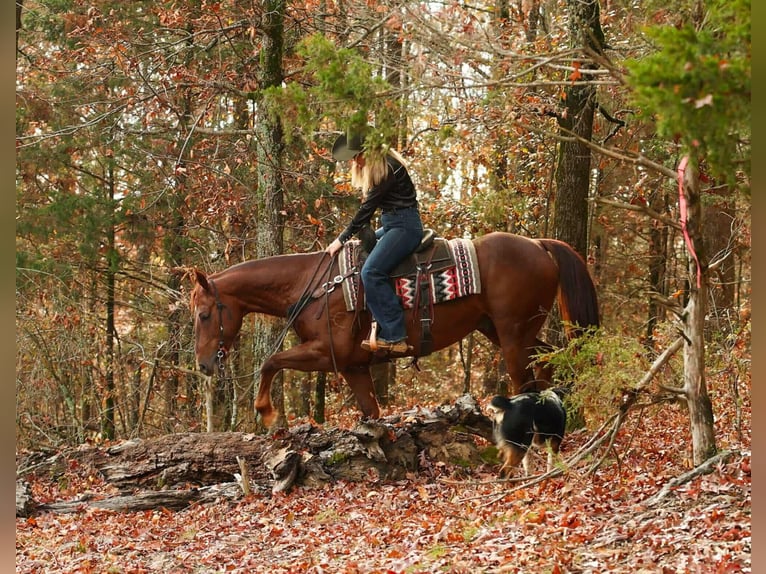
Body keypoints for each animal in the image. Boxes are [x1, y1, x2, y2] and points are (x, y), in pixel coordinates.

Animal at [188, 232, 599, 429]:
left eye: (204, 315)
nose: (204, 365)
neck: (315, 285)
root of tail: (539, 245)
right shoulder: (353, 366)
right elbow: (370, 411)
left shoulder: (324, 353)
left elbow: (270, 362)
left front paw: (268, 414)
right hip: (504, 331)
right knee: (547, 367)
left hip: (513, 334)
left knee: (526, 380)